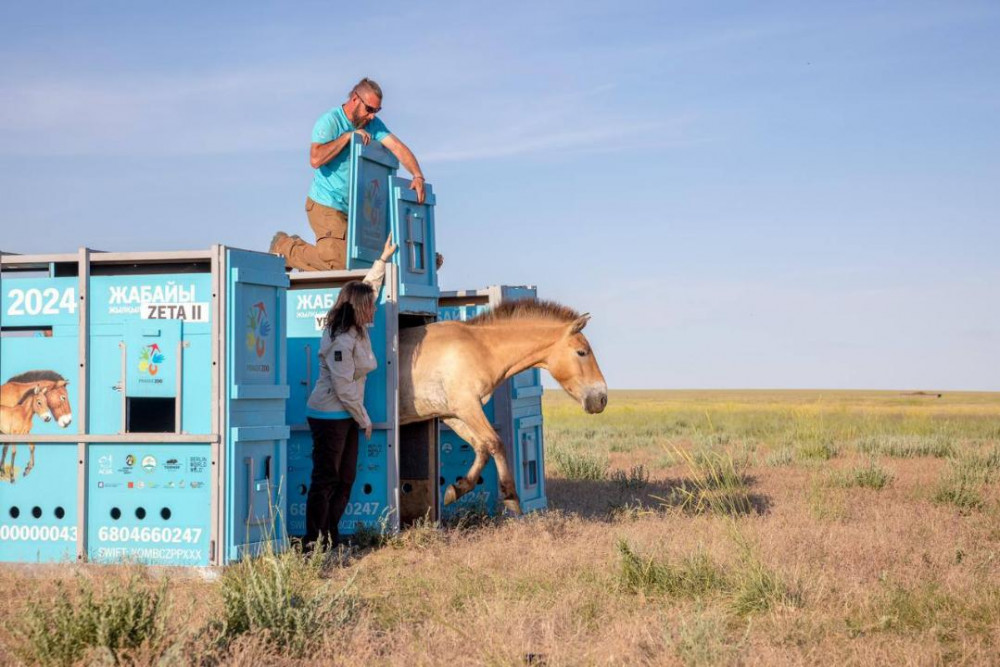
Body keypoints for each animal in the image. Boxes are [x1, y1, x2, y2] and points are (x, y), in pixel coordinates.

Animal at [400, 300, 608, 516]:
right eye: (581, 352)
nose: (601, 398)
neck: (480, 349)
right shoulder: (468, 406)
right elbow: (496, 443)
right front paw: (511, 496)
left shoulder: (454, 414)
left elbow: (482, 447)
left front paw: (457, 489)